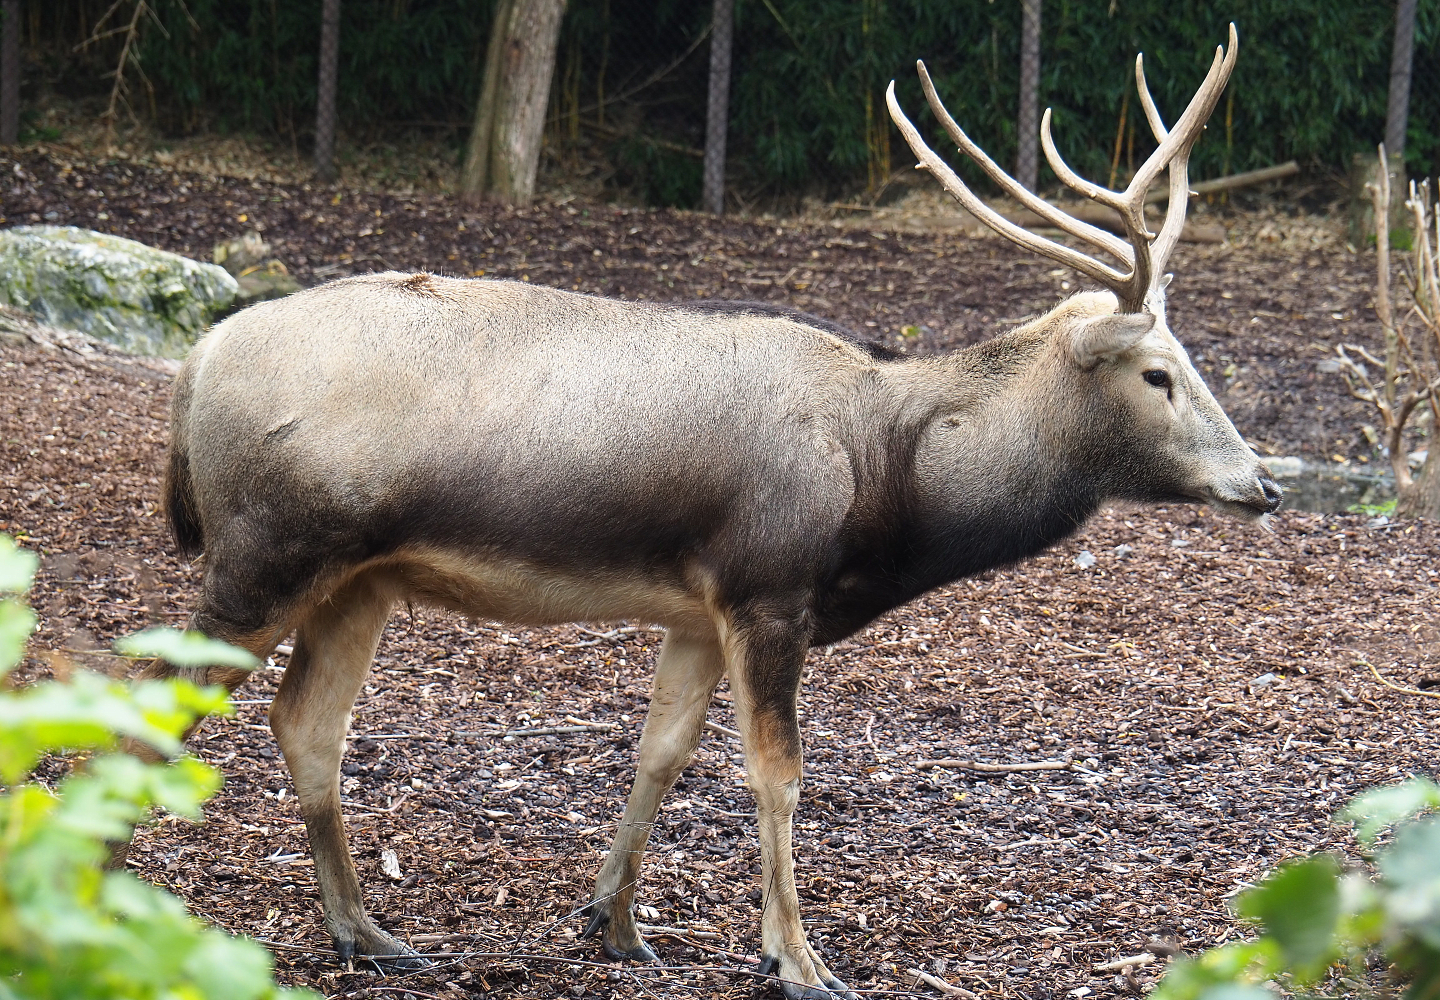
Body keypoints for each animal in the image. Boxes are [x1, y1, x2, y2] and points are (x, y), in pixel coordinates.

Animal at [129, 25, 1274, 1000]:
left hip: (357, 577)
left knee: (305, 722)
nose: (1260, 483)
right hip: (264, 553)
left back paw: (365, 932)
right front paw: (799, 958)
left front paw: (614, 922)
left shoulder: (695, 607)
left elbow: (662, 752)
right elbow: (779, 773)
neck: (882, 484)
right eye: (1159, 373)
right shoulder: (768, 584)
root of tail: (195, 366)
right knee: (151, 696)